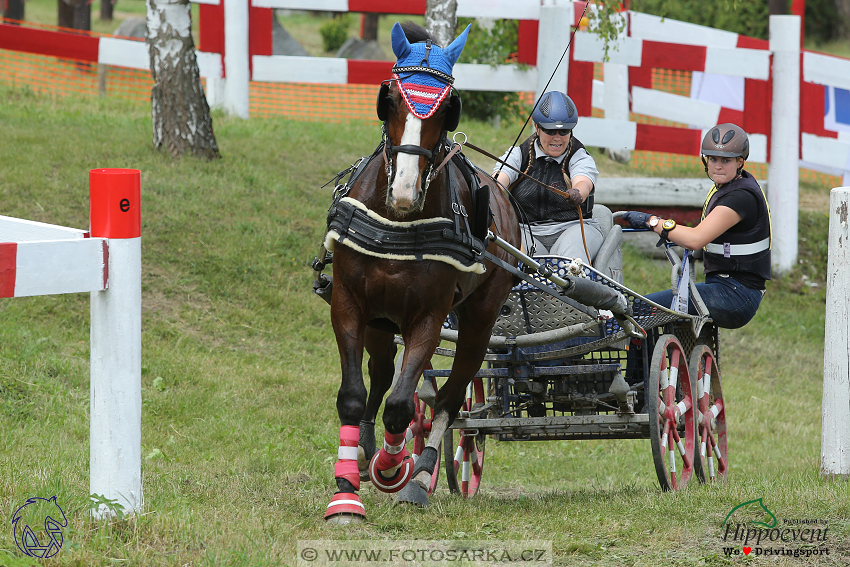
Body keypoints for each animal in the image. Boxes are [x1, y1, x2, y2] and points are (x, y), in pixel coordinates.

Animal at [318, 23, 516, 524]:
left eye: (447, 109)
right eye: (389, 99)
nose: (405, 190)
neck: (400, 220)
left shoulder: (428, 317)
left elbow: (402, 405)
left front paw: (394, 467)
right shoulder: (349, 304)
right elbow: (355, 394)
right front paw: (346, 489)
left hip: (477, 322)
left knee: (449, 396)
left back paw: (421, 474)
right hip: (381, 320)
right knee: (384, 372)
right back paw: (368, 451)